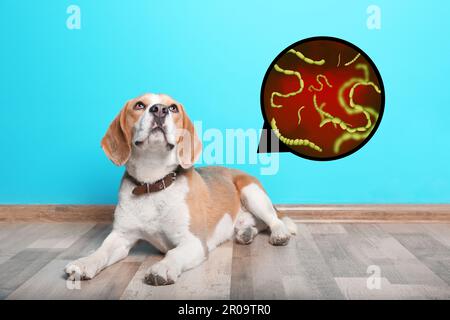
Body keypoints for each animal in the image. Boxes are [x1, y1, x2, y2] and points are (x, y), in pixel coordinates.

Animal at [63, 92, 296, 284]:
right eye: (139, 105)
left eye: (173, 107)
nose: (159, 109)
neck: (153, 183)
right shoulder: (121, 237)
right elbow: (101, 251)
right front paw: (84, 262)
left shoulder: (193, 242)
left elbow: (173, 254)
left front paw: (163, 268)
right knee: (255, 225)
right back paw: (246, 233)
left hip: (253, 193)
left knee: (274, 221)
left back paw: (279, 234)